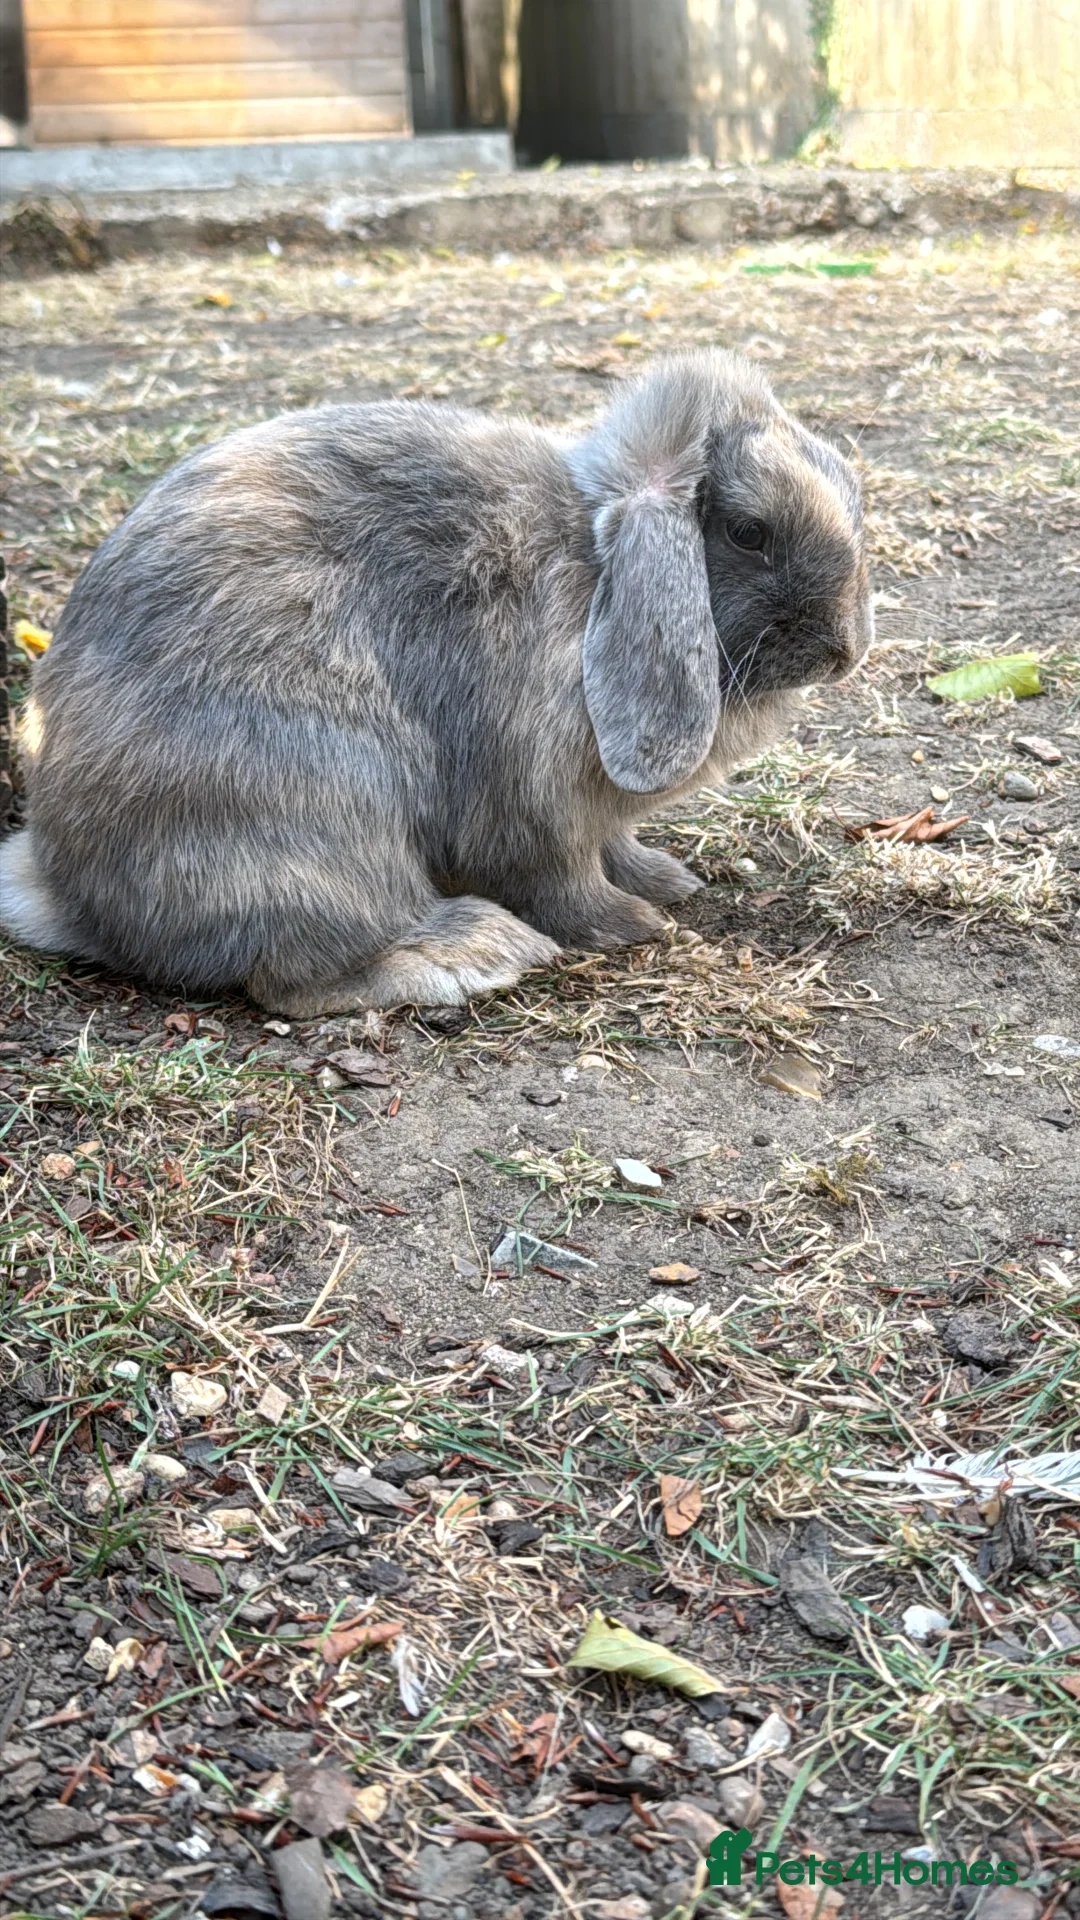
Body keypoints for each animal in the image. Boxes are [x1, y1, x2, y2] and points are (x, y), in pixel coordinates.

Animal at [0, 348, 871, 1017]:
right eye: (749, 531)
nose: (845, 653)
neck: (596, 572)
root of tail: (71, 896)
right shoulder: (537, 804)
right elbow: (565, 880)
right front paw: (633, 923)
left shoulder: (593, 810)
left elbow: (615, 844)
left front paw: (666, 881)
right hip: (321, 802)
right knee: (300, 975)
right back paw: (482, 950)